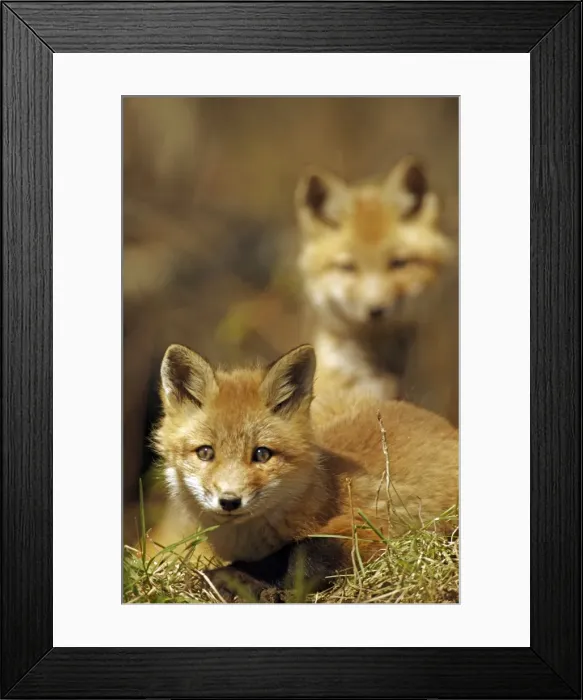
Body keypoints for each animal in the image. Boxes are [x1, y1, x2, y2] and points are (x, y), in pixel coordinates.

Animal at [144, 342, 459, 602]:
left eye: (262, 454)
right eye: (205, 452)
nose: (230, 501)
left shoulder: (372, 525)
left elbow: (303, 553)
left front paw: (235, 578)